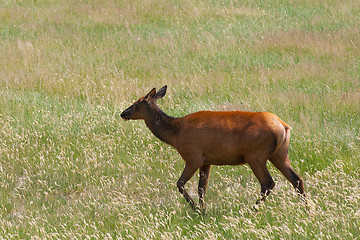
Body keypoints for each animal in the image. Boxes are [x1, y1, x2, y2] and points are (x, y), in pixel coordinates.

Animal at [121, 85, 306, 211]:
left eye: (136, 103)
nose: (123, 113)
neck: (175, 134)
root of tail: (283, 126)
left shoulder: (193, 156)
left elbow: (180, 184)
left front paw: (195, 208)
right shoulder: (206, 161)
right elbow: (201, 188)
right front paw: (203, 210)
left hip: (256, 155)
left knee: (268, 183)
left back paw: (252, 210)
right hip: (280, 154)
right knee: (297, 179)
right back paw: (307, 209)